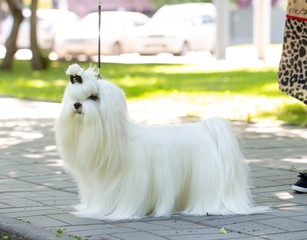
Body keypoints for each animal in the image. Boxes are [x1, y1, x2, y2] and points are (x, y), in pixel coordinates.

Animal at [56, 63, 268, 219]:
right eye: (74, 97)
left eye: (94, 97)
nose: (77, 105)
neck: (118, 141)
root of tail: (208, 129)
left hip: (209, 182)